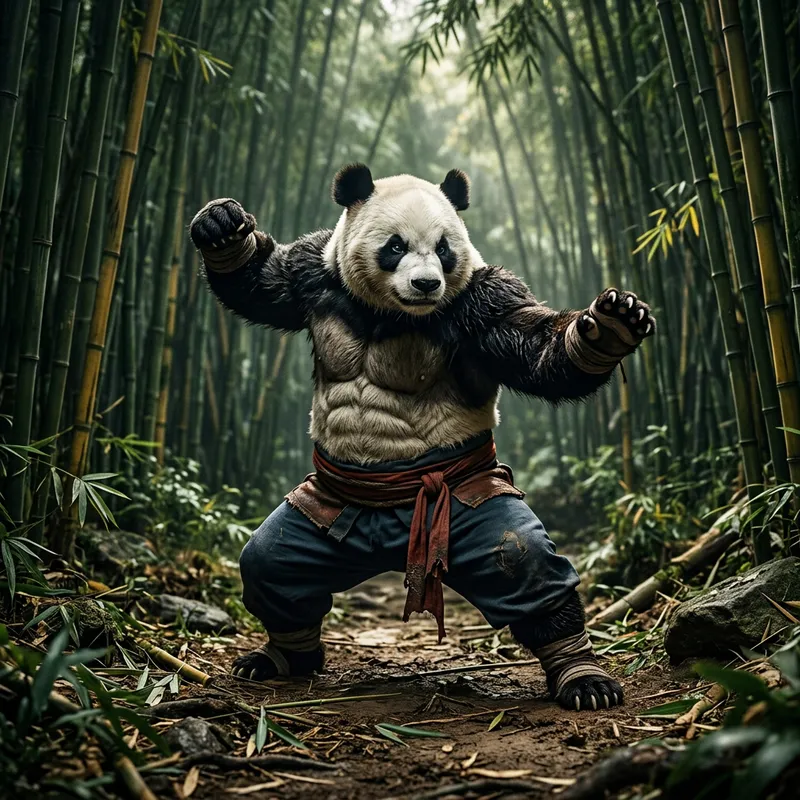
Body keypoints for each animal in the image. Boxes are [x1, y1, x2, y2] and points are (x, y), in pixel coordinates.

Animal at [190, 164, 655, 711]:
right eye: (395, 246)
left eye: (444, 248)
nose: (427, 283)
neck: (396, 312)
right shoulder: (318, 277)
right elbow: (264, 285)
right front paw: (222, 225)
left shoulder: (480, 304)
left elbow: (535, 350)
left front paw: (609, 326)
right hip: (326, 510)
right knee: (276, 570)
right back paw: (283, 656)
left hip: (467, 504)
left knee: (526, 567)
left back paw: (582, 675)